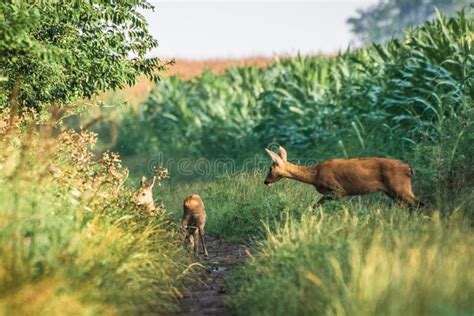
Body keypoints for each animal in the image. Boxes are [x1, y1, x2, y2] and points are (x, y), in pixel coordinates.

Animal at [264, 146, 424, 210]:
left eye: (270, 168)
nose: (265, 181)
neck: (314, 175)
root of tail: (409, 168)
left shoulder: (338, 190)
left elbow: (318, 203)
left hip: (399, 186)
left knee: (418, 204)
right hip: (392, 192)